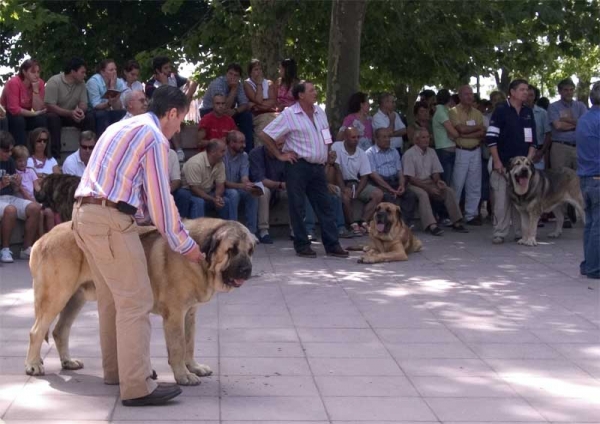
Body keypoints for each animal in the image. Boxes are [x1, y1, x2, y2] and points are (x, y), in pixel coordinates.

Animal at [25, 217, 255, 386]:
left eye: (250, 250)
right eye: (231, 250)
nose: (247, 270)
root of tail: (43, 238)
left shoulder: (190, 313)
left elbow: (189, 343)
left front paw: (194, 367)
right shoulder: (175, 314)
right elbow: (179, 346)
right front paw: (183, 375)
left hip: (75, 298)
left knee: (60, 330)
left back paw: (67, 361)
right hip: (56, 295)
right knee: (36, 331)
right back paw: (33, 365)